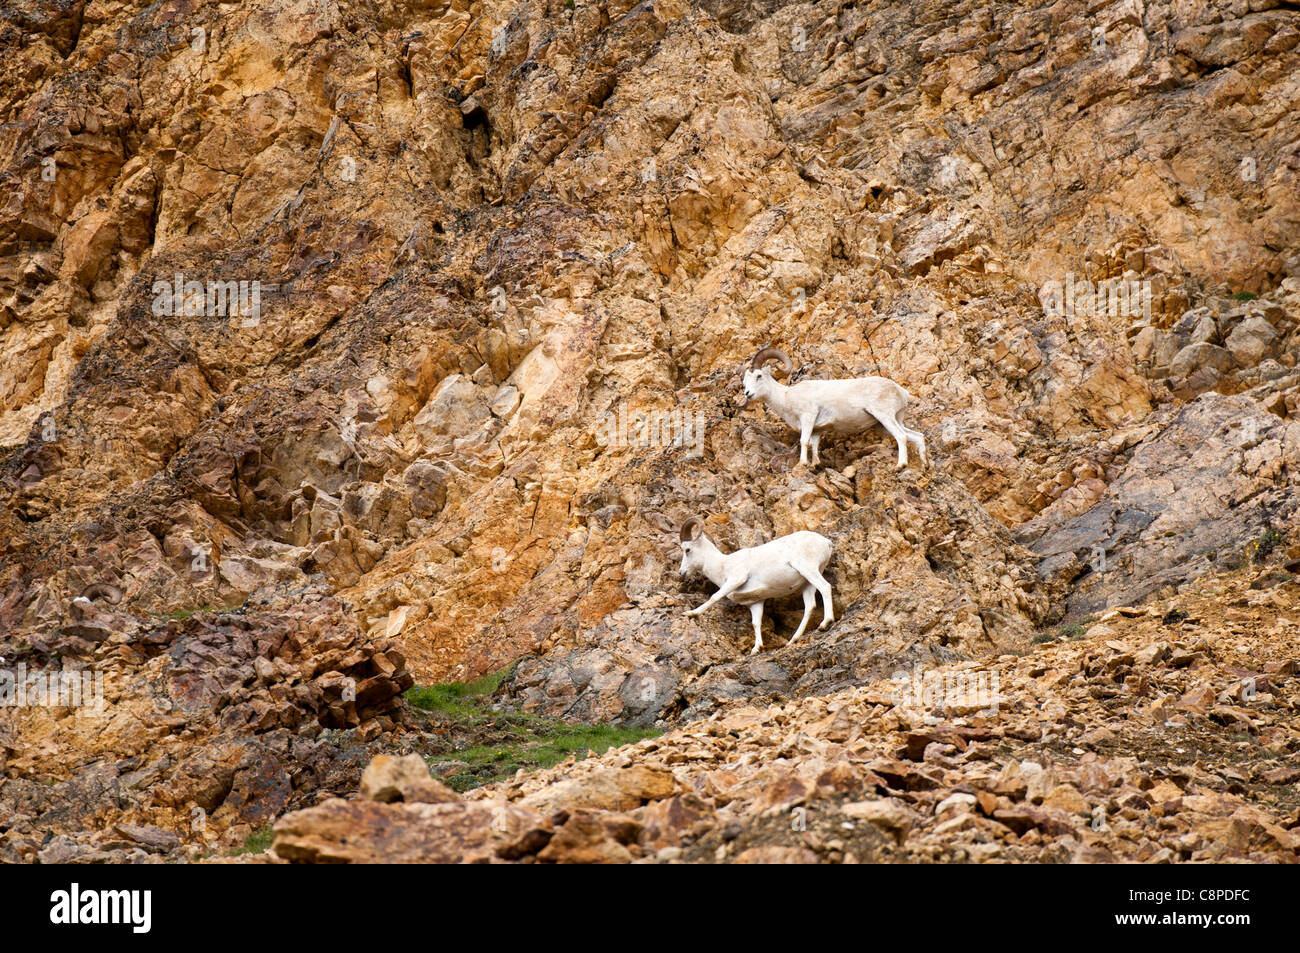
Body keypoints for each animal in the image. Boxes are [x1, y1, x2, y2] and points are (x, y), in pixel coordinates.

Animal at [681, 517, 832, 650]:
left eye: (687, 549)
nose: (681, 572)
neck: (722, 566)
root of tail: (826, 542)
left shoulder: (735, 580)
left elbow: (714, 597)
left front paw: (690, 613)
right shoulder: (755, 602)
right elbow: (756, 623)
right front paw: (756, 649)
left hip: (808, 570)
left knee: (825, 588)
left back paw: (825, 623)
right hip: (807, 582)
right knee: (810, 606)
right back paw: (793, 640)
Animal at [743, 348, 925, 470]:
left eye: (759, 376)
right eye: (745, 382)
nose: (747, 393)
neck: (786, 397)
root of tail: (901, 391)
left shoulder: (808, 417)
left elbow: (804, 441)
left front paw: (803, 464)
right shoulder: (817, 429)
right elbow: (814, 445)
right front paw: (815, 465)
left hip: (884, 417)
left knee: (901, 436)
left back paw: (900, 465)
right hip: (885, 423)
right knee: (917, 437)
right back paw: (925, 465)